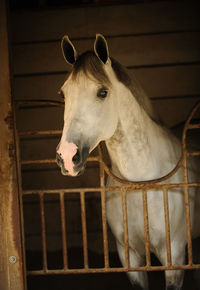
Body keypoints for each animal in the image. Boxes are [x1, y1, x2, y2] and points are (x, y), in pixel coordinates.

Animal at [55, 34, 200, 290]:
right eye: (64, 93)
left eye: (102, 92)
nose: (67, 157)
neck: (141, 182)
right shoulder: (129, 257)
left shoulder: (174, 256)